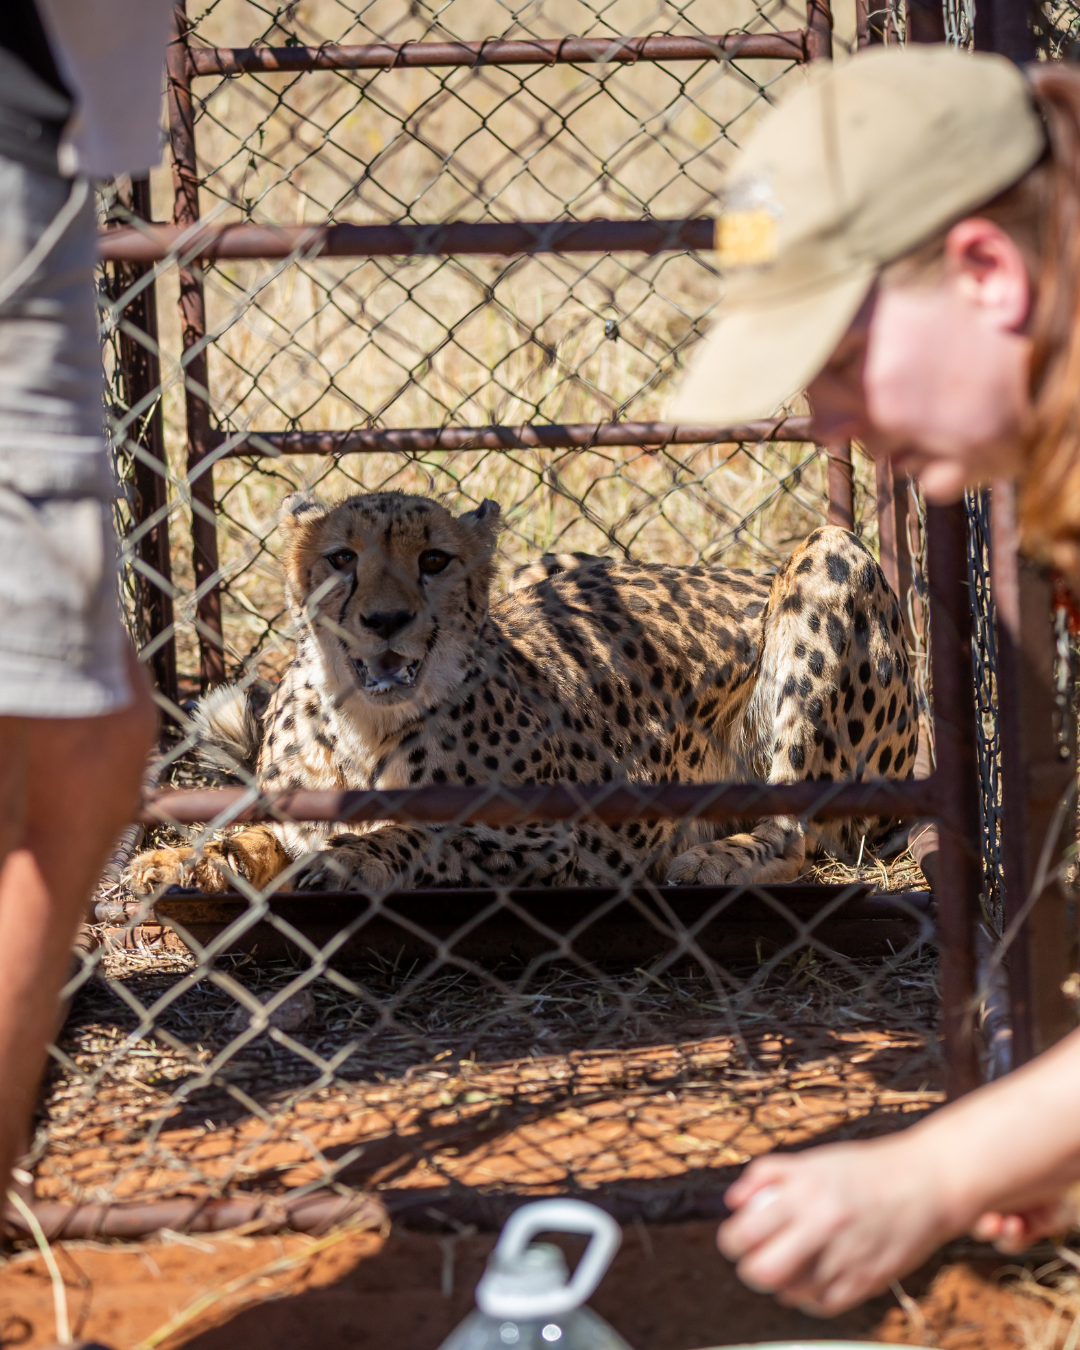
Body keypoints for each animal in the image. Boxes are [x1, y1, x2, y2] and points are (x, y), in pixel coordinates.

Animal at [127, 490, 918, 897]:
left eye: (434, 560)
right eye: (341, 558)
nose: (386, 621)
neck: (362, 726)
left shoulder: (565, 848)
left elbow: (427, 836)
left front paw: (355, 856)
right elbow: (262, 833)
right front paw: (188, 860)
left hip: (831, 554)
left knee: (798, 830)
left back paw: (721, 858)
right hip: (551, 565)